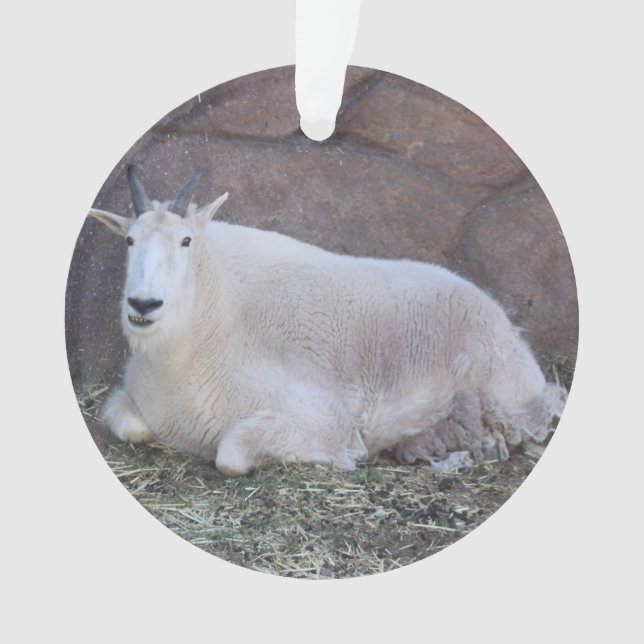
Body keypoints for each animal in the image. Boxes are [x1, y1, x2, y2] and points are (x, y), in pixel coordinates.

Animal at [89, 166, 566, 477]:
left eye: (186, 240)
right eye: (129, 240)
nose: (144, 304)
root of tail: (507, 327)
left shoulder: (317, 417)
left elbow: (231, 455)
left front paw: (345, 457)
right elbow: (130, 426)